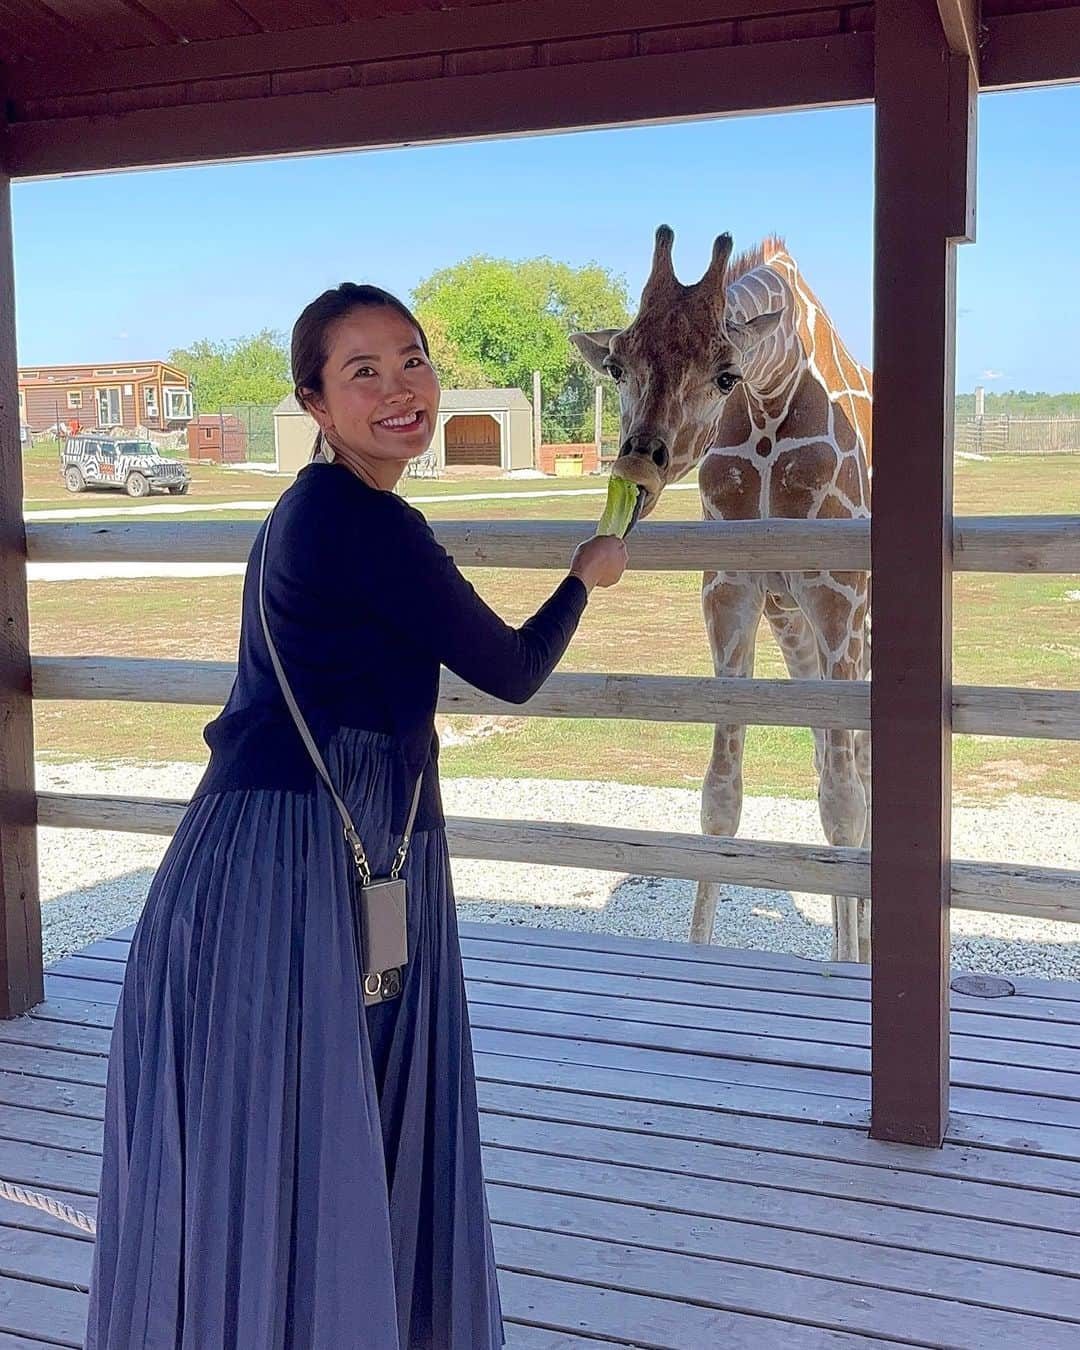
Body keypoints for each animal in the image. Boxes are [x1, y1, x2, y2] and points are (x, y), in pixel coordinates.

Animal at [569, 229, 874, 961]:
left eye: (727, 375)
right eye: (616, 367)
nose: (634, 469)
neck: (772, 400)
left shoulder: (836, 591)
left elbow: (846, 806)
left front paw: (851, 967)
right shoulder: (731, 590)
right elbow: (720, 801)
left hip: (857, 626)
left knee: (859, 777)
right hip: (793, 625)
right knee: (827, 765)